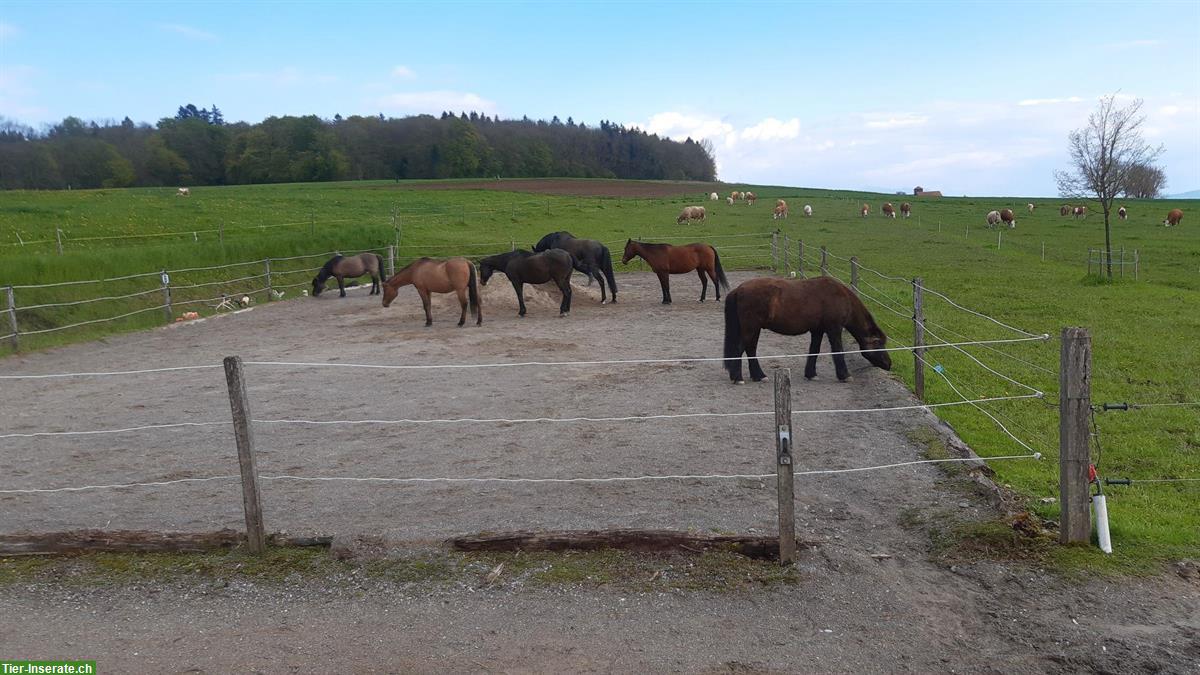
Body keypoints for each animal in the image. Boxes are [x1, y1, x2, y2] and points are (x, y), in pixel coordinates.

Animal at [720, 275, 892, 384]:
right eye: (879, 345)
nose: (889, 364)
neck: (840, 296)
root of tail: (739, 289)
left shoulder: (818, 330)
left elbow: (814, 350)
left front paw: (811, 374)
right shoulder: (834, 329)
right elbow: (837, 350)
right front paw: (844, 375)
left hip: (754, 329)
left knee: (750, 350)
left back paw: (758, 376)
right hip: (751, 328)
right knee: (740, 349)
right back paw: (737, 378)